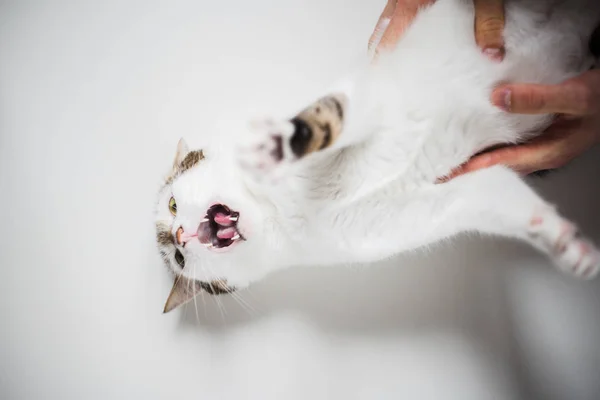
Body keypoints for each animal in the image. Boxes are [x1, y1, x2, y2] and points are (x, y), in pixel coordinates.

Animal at [156, 0, 600, 312]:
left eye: (173, 203)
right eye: (178, 258)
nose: (178, 235)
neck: (285, 212)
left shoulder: (364, 96)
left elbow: (323, 119)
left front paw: (276, 149)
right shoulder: (435, 207)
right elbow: (497, 199)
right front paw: (568, 246)